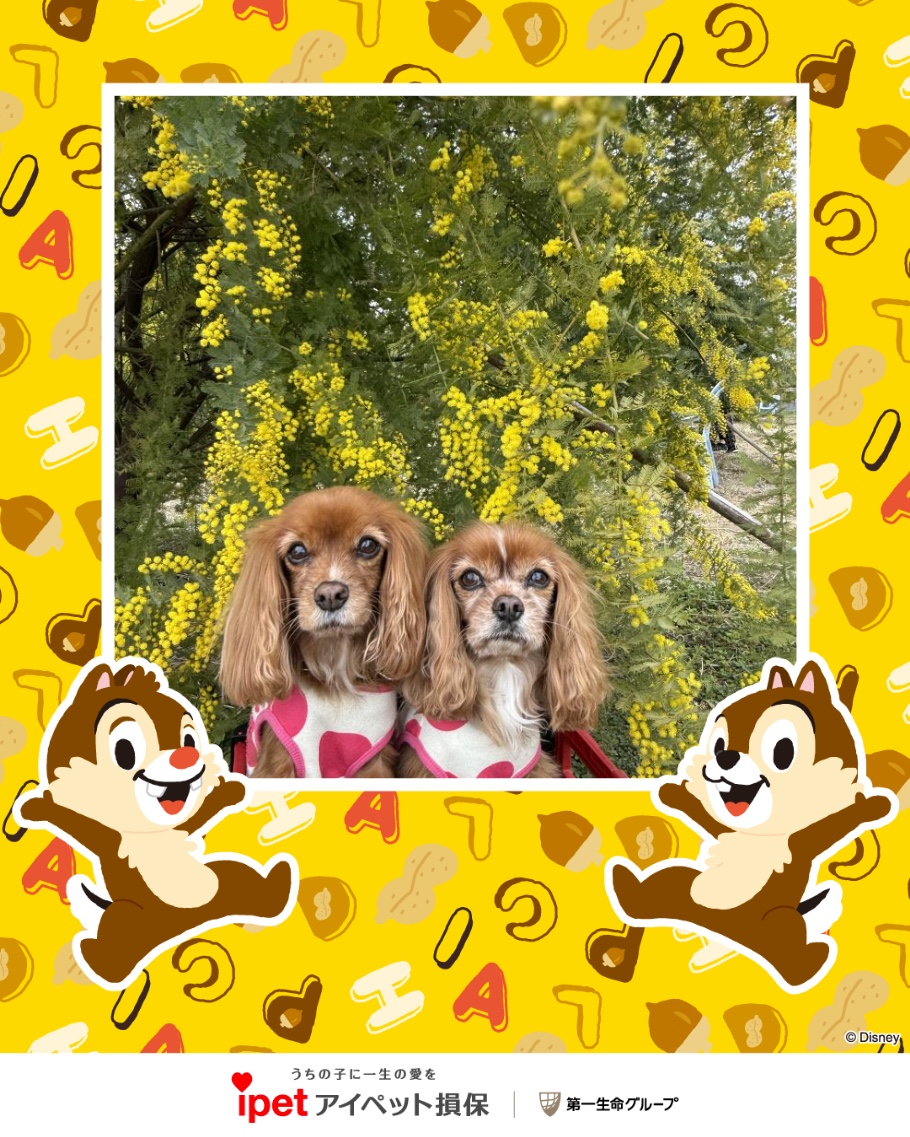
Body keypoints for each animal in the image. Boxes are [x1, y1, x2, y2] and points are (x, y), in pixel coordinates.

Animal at [220, 486, 428, 778]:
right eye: (297, 551)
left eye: (368, 545)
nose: (330, 595)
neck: (333, 663)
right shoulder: (279, 761)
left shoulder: (373, 762)